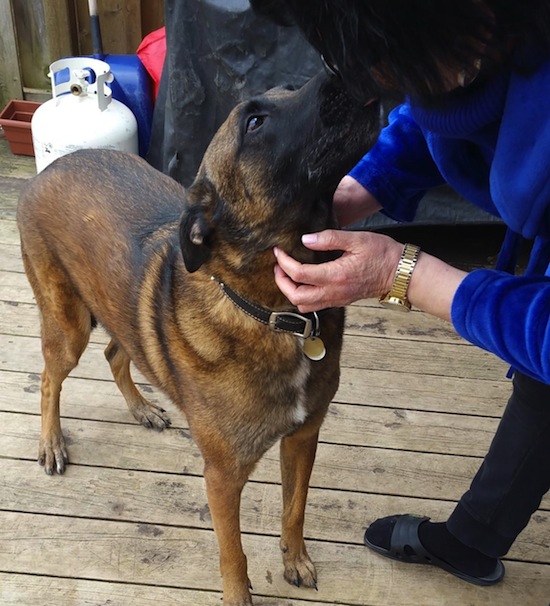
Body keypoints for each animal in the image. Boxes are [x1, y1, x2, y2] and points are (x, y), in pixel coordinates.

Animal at [16, 73, 380, 604]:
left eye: (289, 88)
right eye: (254, 122)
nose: (347, 71)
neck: (278, 315)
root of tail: (45, 173)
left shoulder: (303, 437)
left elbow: (294, 509)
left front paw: (295, 560)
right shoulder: (223, 477)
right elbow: (234, 556)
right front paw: (239, 595)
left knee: (115, 353)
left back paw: (142, 409)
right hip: (69, 325)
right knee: (50, 379)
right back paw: (51, 443)